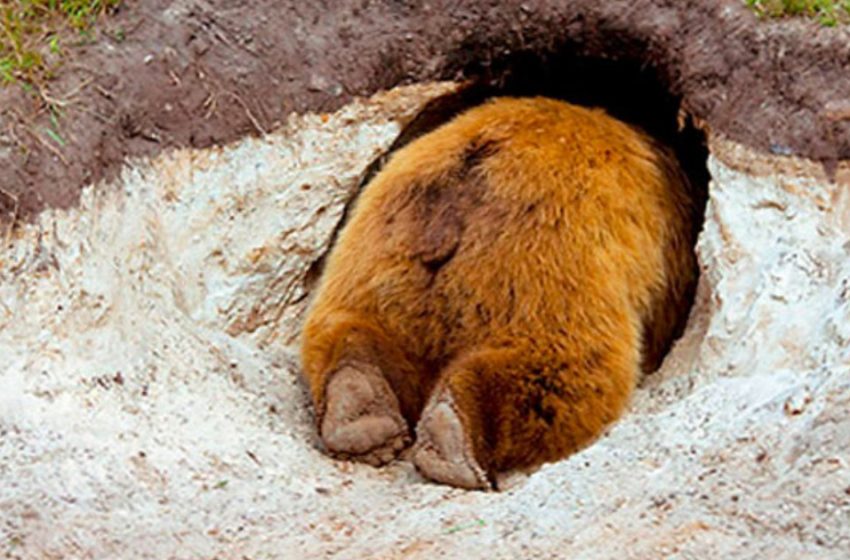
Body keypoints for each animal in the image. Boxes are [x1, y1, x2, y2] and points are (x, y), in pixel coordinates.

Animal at [298, 97, 696, 490]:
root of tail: (458, 191)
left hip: (376, 259)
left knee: (351, 326)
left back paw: (361, 410)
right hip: (544, 261)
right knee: (563, 368)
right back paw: (451, 440)